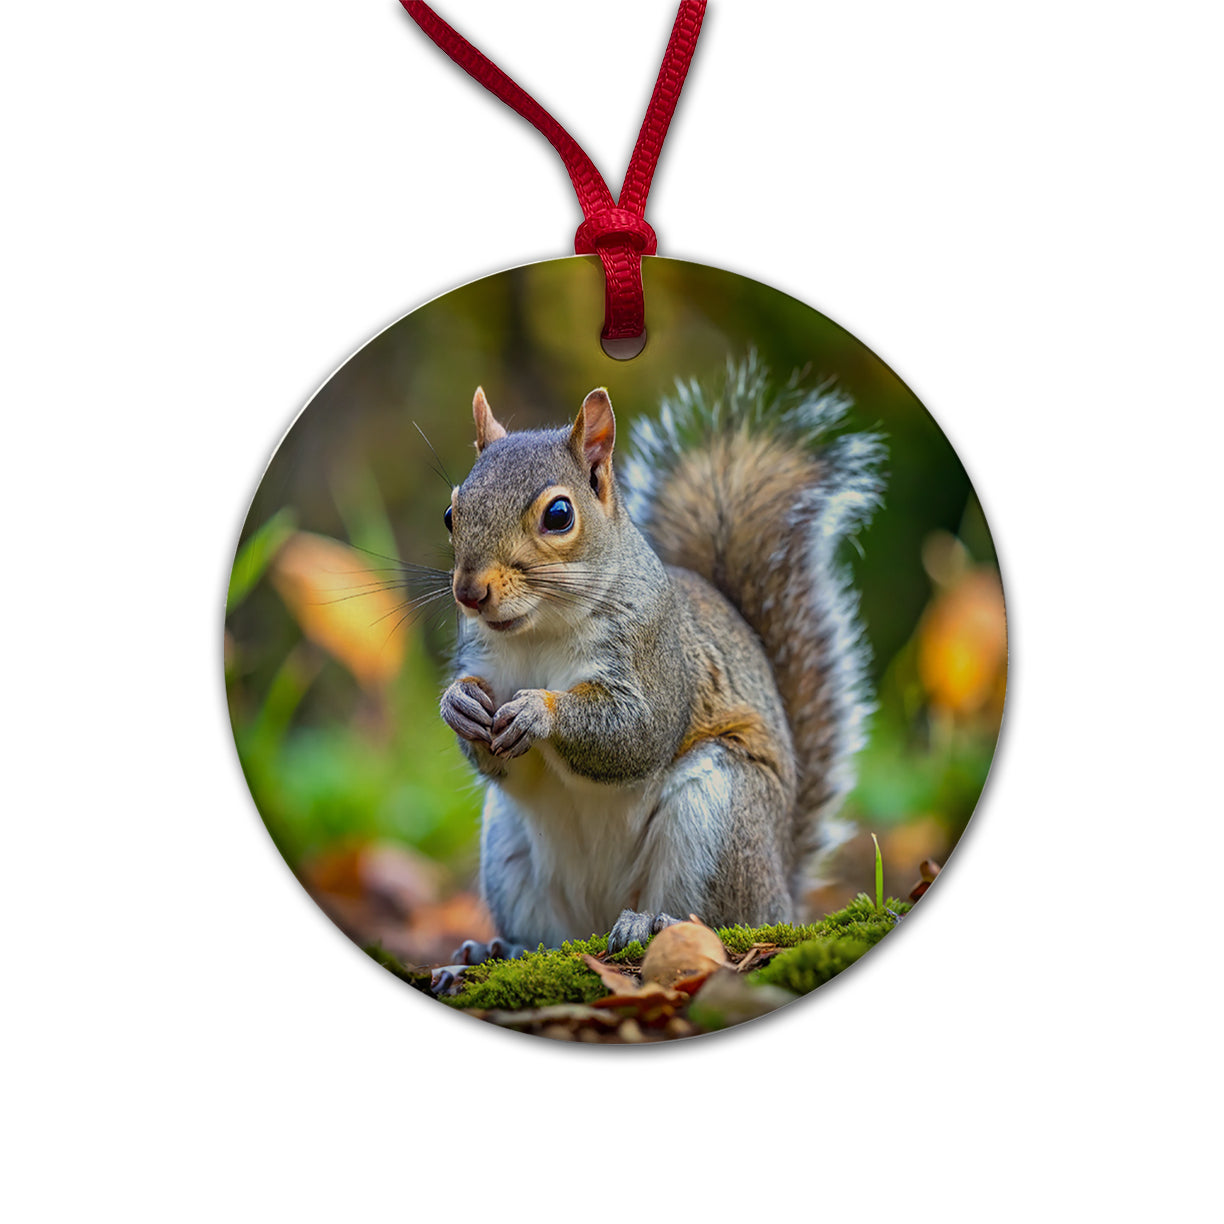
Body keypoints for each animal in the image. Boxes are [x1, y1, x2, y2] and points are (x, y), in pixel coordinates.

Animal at [439, 356, 885, 958]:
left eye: (559, 515)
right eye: (451, 513)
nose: (469, 592)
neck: (539, 632)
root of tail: (782, 896)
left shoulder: (657, 656)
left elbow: (638, 732)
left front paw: (539, 710)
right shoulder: (484, 661)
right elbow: (493, 754)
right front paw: (457, 703)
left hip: (718, 816)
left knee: (718, 918)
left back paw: (650, 924)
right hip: (507, 847)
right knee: (546, 937)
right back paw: (494, 951)